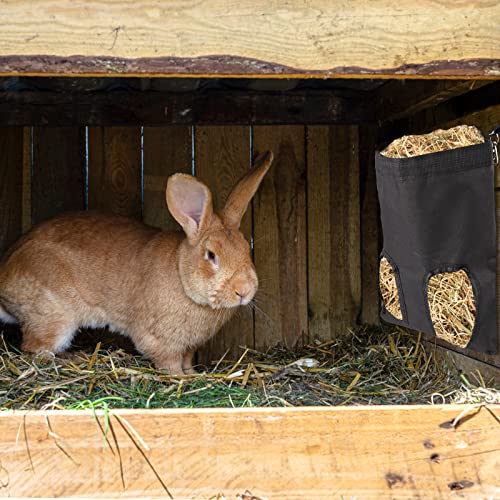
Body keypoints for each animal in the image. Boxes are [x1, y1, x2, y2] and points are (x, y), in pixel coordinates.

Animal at [0, 151, 273, 375]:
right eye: (211, 255)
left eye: (247, 247)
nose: (244, 291)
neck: (181, 275)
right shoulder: (160, 341)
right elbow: (170, 364)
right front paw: (180, 379)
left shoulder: (188, 348)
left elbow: (186, 362)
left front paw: (193, 375)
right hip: (54, 317)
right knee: (35, 351)